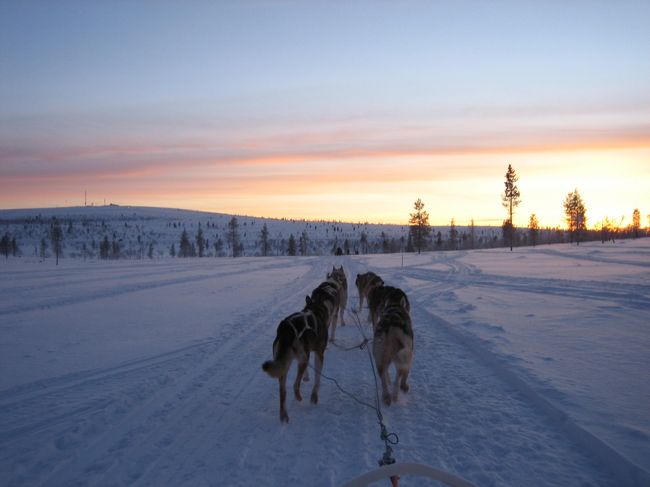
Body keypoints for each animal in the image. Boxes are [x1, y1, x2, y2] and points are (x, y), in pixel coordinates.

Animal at [260, 294, 330, 424]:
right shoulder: (318, 354)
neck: (314, 310)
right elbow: (317, 379)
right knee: (295, 384)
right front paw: (314, 396)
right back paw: (298, 397)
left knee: (283, 392)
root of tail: (286, 328)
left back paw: (284, 416)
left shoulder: (307, 354)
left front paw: (307, 378)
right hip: (302, 359)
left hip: (285, 364)